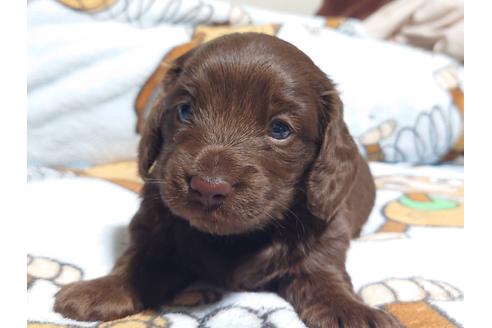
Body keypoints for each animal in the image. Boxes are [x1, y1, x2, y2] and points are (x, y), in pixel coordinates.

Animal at [54, 32, 400, 326]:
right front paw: (102, 289)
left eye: (280, 129)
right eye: (184, 110)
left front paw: (354, 311)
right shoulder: (155, 223)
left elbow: (323, 273)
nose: (208, 187)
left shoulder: (325, 233)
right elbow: (142, 258)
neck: (234, 238)